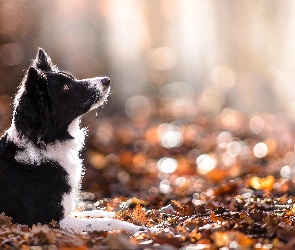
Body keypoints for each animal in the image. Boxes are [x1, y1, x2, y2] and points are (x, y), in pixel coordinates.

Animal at [0, 47, 110, 226]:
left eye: (71, 79)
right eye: (66, 87)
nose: (107, 80)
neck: (42, 143)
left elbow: (99, 214)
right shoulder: (53, 219)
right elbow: (106, 223)